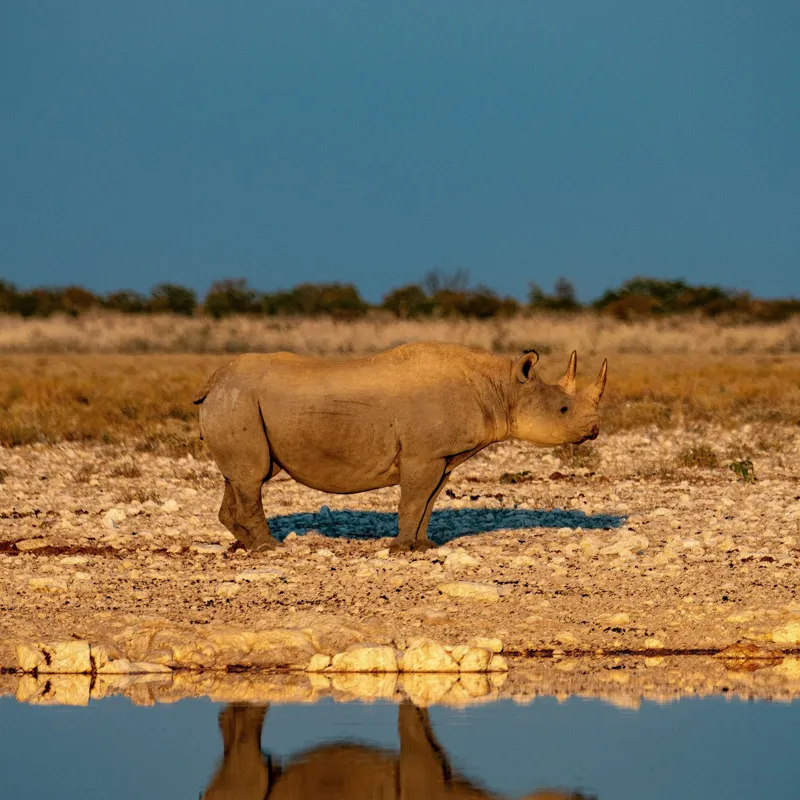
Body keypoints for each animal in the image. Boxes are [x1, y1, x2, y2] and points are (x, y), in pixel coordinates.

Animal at [193, 342, 607, 553]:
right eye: (563, 409)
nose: (594, 430)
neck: (502, 388)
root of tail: (213, 382)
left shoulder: (443, 456)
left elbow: (428, 502)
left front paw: (423, 547)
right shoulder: (423, 455)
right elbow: (412, 501)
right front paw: (399, 550)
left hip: (237, 403)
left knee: (240, 477)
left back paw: (247, 546)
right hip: (238, 401)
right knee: (253, 477)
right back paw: (271, 549)